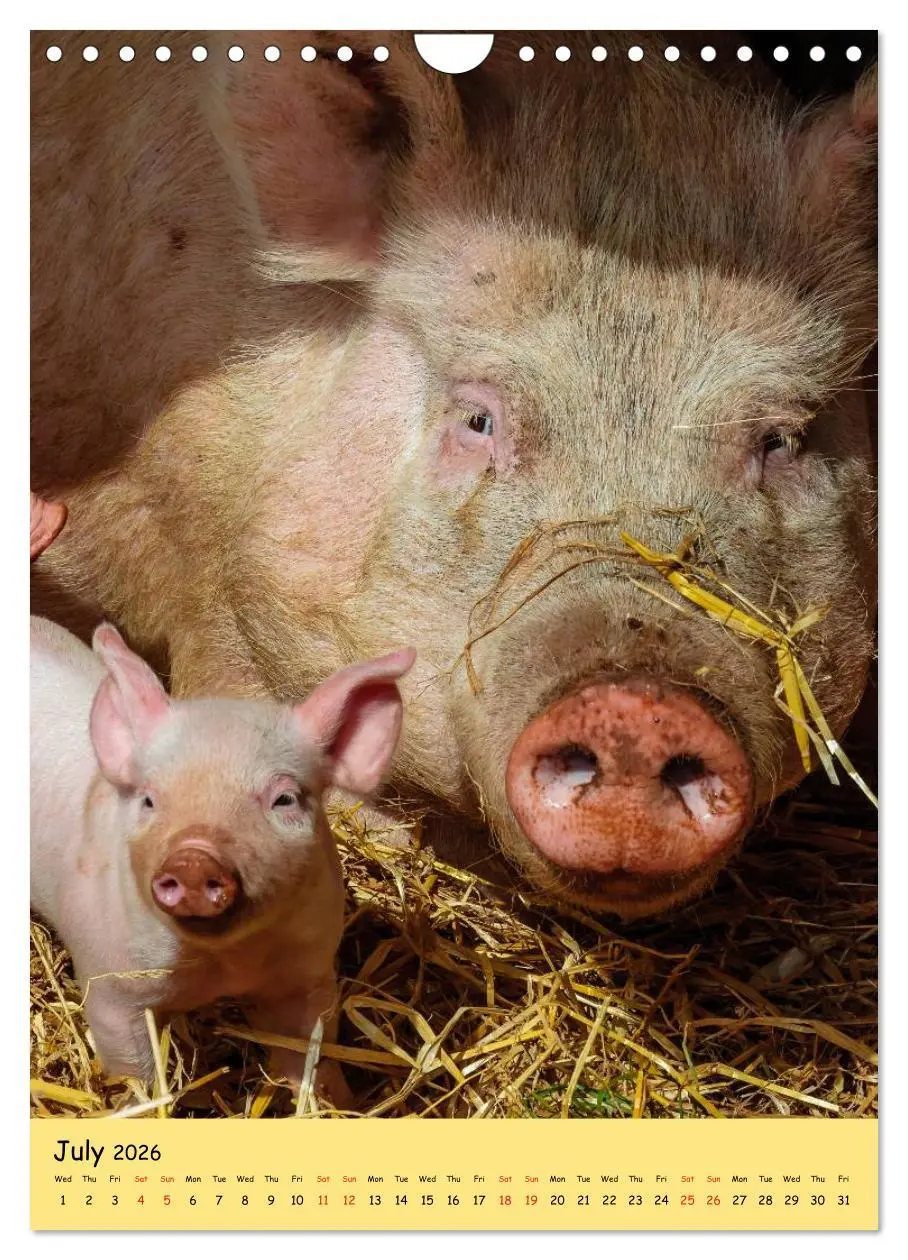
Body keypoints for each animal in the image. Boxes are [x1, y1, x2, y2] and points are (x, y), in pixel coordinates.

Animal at [30, 613, 414, 1097]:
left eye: (284, 799)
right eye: (149, 800)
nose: (194, 858)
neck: (226, 965)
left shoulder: (308, 972)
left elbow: (311, 1056)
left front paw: (334, 1100)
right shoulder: (109, 983)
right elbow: (134, 1073)